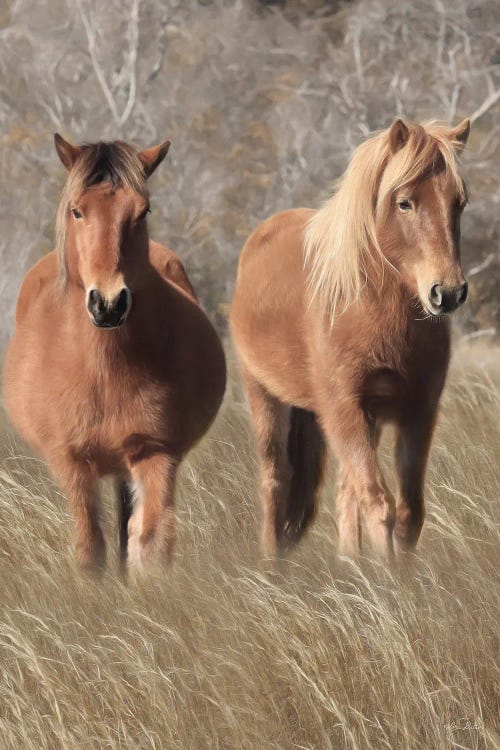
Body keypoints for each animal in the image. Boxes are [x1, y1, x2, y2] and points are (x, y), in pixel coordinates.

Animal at [3, 135, 227, 576]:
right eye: (77, 210)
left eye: (143, 211)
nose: (108, 304)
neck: (102, 368)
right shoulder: (72, 462)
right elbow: (90, 550)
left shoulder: (155, 452)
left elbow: (150, 545)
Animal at [232, 119, 470, 564]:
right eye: (405, 203)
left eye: (459, 203)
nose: (447, 293)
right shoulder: (343, 409)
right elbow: (379, 505)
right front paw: (387, 577)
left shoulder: (417, 412)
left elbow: (409, 511)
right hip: (266, 396)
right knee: (276, 478)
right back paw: (272, 564)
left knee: (344, 492)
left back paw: (348, 563)